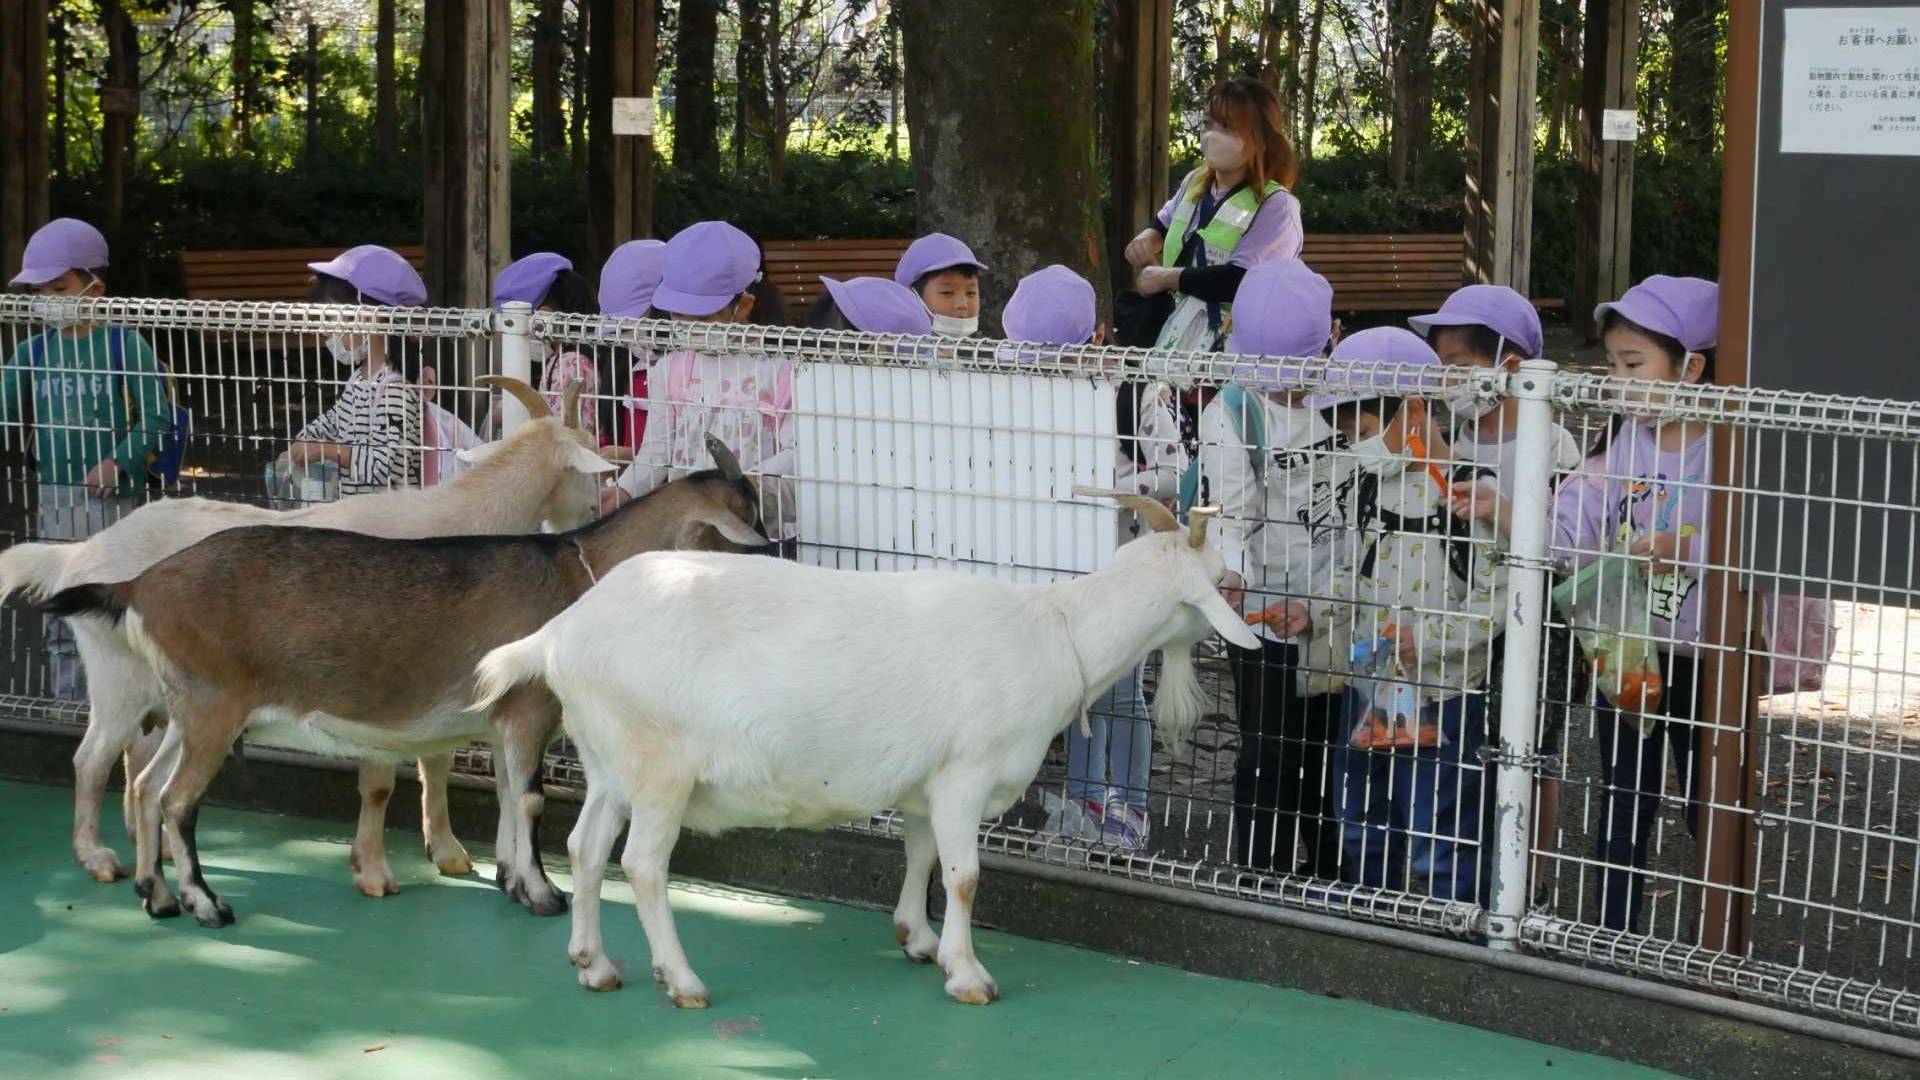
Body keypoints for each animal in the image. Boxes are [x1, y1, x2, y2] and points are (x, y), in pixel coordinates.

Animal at [0, 374, 614, 887]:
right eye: (591, 468)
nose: (599, 510)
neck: (452, 524)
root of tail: (76, 555)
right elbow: (381, 782)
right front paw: (373, 871)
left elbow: (435, 761)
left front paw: (445, 850)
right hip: (117, 679)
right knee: (91, 759)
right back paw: (99, 857)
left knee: (136, 760)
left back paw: (155, 847)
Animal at [46, 432, 764, 922]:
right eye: (749, 521)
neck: (575, 574)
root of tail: (139, 585)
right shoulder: (530, 708)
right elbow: (530, 799)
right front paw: (542, 893)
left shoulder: (502, 721)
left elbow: (508, 795)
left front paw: (510, 879)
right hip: (212, 706)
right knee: (174, 799)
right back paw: (205, 903)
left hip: (186, 705)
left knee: (145, 785)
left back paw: (156, 894)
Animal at [472, 488, 1259, 999]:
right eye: (1221, 579)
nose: (1251, 600)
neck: (1053, 629)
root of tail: (561, 633)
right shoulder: (966, 775)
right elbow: (965, 876)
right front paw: (968, 974)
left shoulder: (925, 783)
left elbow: (921, 859)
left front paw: (916, 939)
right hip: (661, 766)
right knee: (640, 865)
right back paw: (682, 979)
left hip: (610, 759)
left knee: (586, 847)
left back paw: (593, 964)